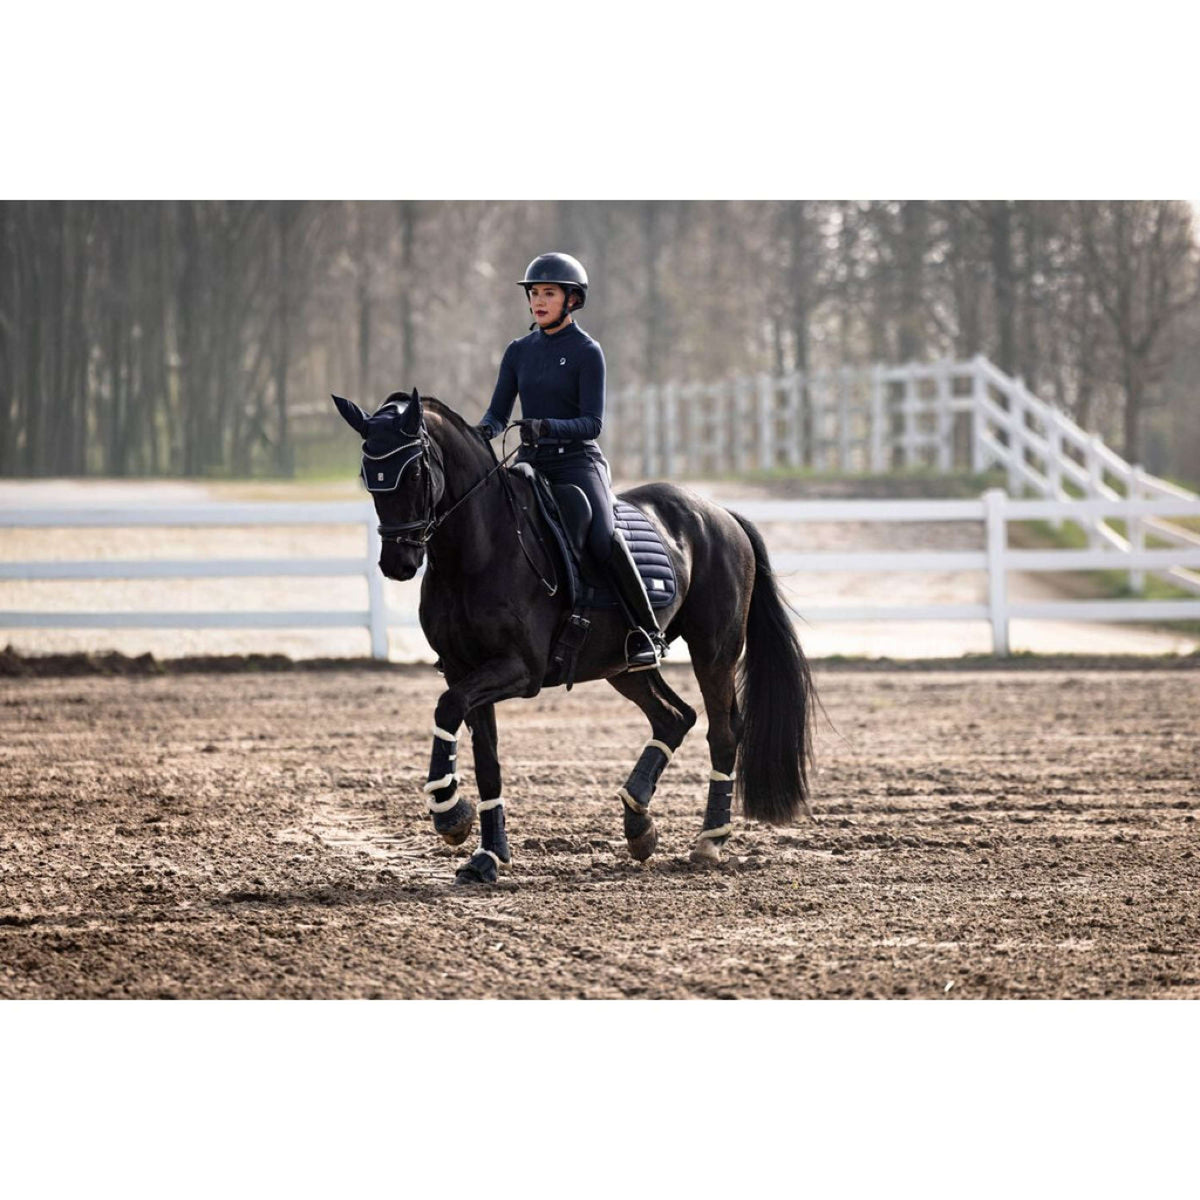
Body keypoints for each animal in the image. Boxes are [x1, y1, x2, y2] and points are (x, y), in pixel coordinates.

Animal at [333, 388, 816, 885]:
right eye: (369, 476)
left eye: (414, 470)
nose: (398, 563)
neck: (478, 551)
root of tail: (720, 514)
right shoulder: (462, 670)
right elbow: (486, 758)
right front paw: (488, 855)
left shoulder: (520, 670)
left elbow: (447, 709)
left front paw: (450, 813)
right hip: (622, 665)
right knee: (673, 717)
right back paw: (638, 823)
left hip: (713, 651)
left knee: (722, 732)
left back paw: (708, 840)